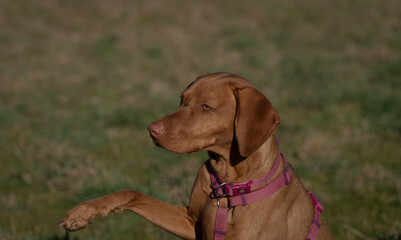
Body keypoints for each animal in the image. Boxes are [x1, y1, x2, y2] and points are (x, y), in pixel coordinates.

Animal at [58, 72, 334, 239]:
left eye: (206, 107)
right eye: (182, 99)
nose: (151, 129)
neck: (228, 182)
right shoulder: (191, 222)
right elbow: (132, 193)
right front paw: (86, 210)